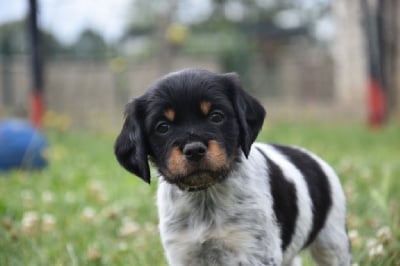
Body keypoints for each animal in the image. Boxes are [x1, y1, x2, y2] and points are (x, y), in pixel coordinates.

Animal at [114, 69, 352, 266]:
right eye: (162, 127)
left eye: (216, 116)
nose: (194, 150)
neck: (206, 197)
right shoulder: (184, 251)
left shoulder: (253, 250)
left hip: (332, 242)